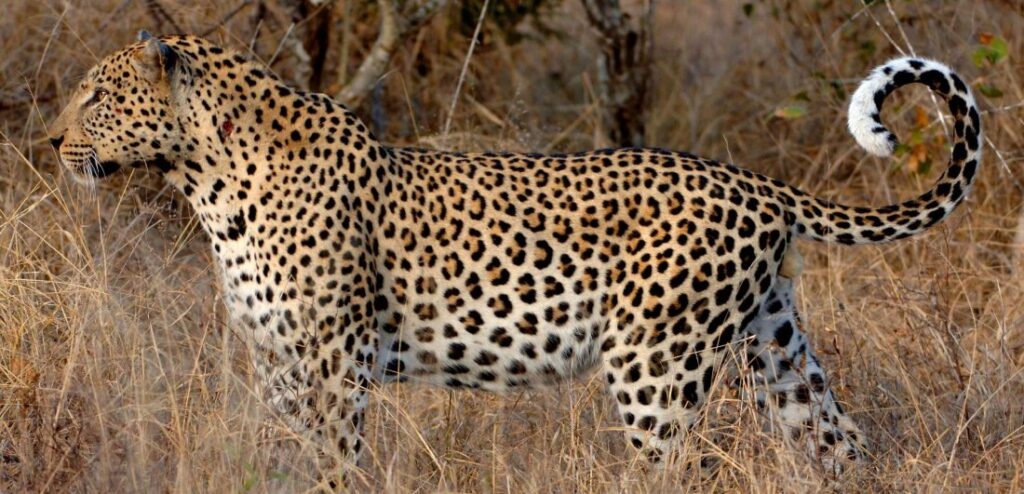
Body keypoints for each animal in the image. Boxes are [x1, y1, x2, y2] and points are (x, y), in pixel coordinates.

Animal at [49, 31, 983, 485]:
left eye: (95, 95)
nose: (52, 141)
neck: (204, 178)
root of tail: (758, 183)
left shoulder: (330, 361)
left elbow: (333, 463)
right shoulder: (278, 363)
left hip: (656, 366)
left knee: (684, 471)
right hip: (779, 352)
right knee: (840, 444)